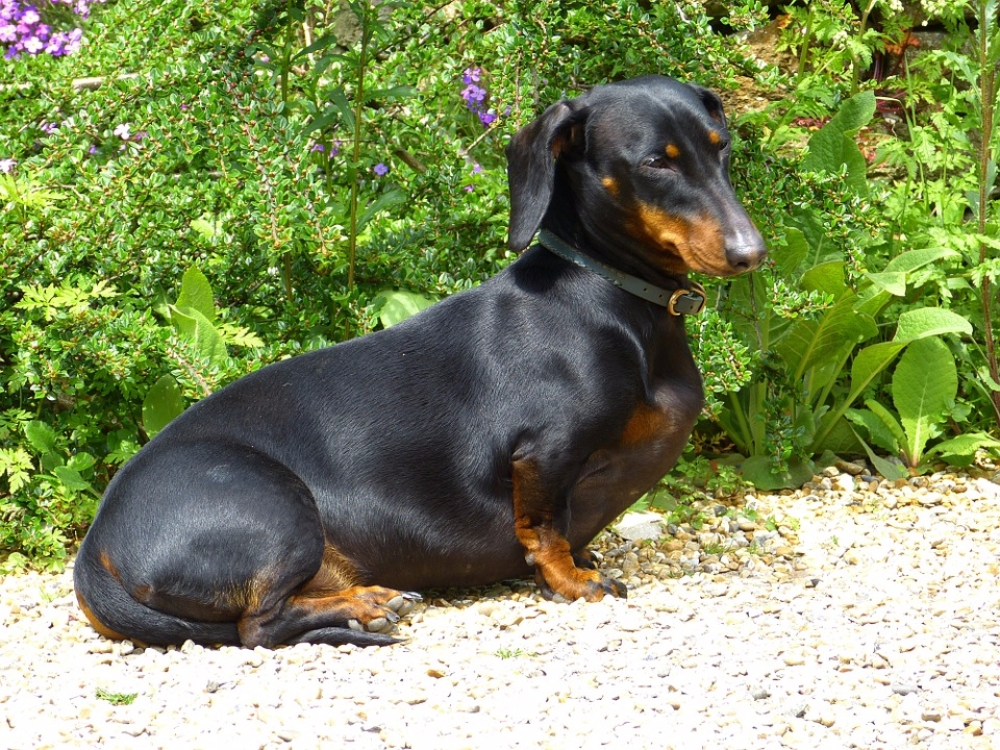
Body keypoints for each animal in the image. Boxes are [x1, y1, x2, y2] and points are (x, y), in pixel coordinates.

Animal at [76, 78, 764, 652]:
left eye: (721, 147)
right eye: (655, 163)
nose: (751, 252)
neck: (603, 293)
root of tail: (94, 551)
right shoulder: (544, 452)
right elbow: (544, 529)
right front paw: (574, 581)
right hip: (279, 511)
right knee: (259, 626)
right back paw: (367, 605)